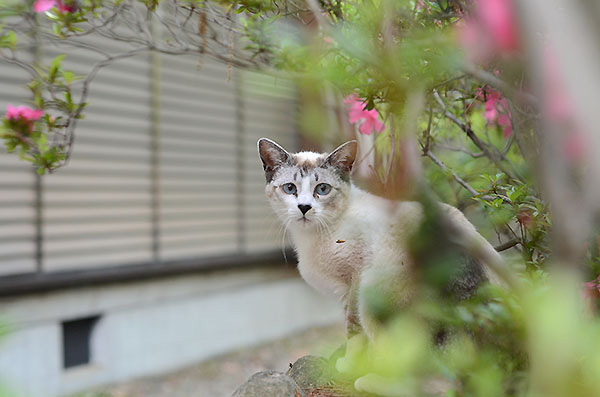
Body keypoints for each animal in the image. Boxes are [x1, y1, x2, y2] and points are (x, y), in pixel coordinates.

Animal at [255, 138, 504, 338]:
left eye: (323, 189)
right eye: (290, 188)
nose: (304, 207)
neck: (312, 237)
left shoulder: (355, 278)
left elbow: (353, 327)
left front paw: (350, 361)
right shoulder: (343, 291)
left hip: (373, 289)